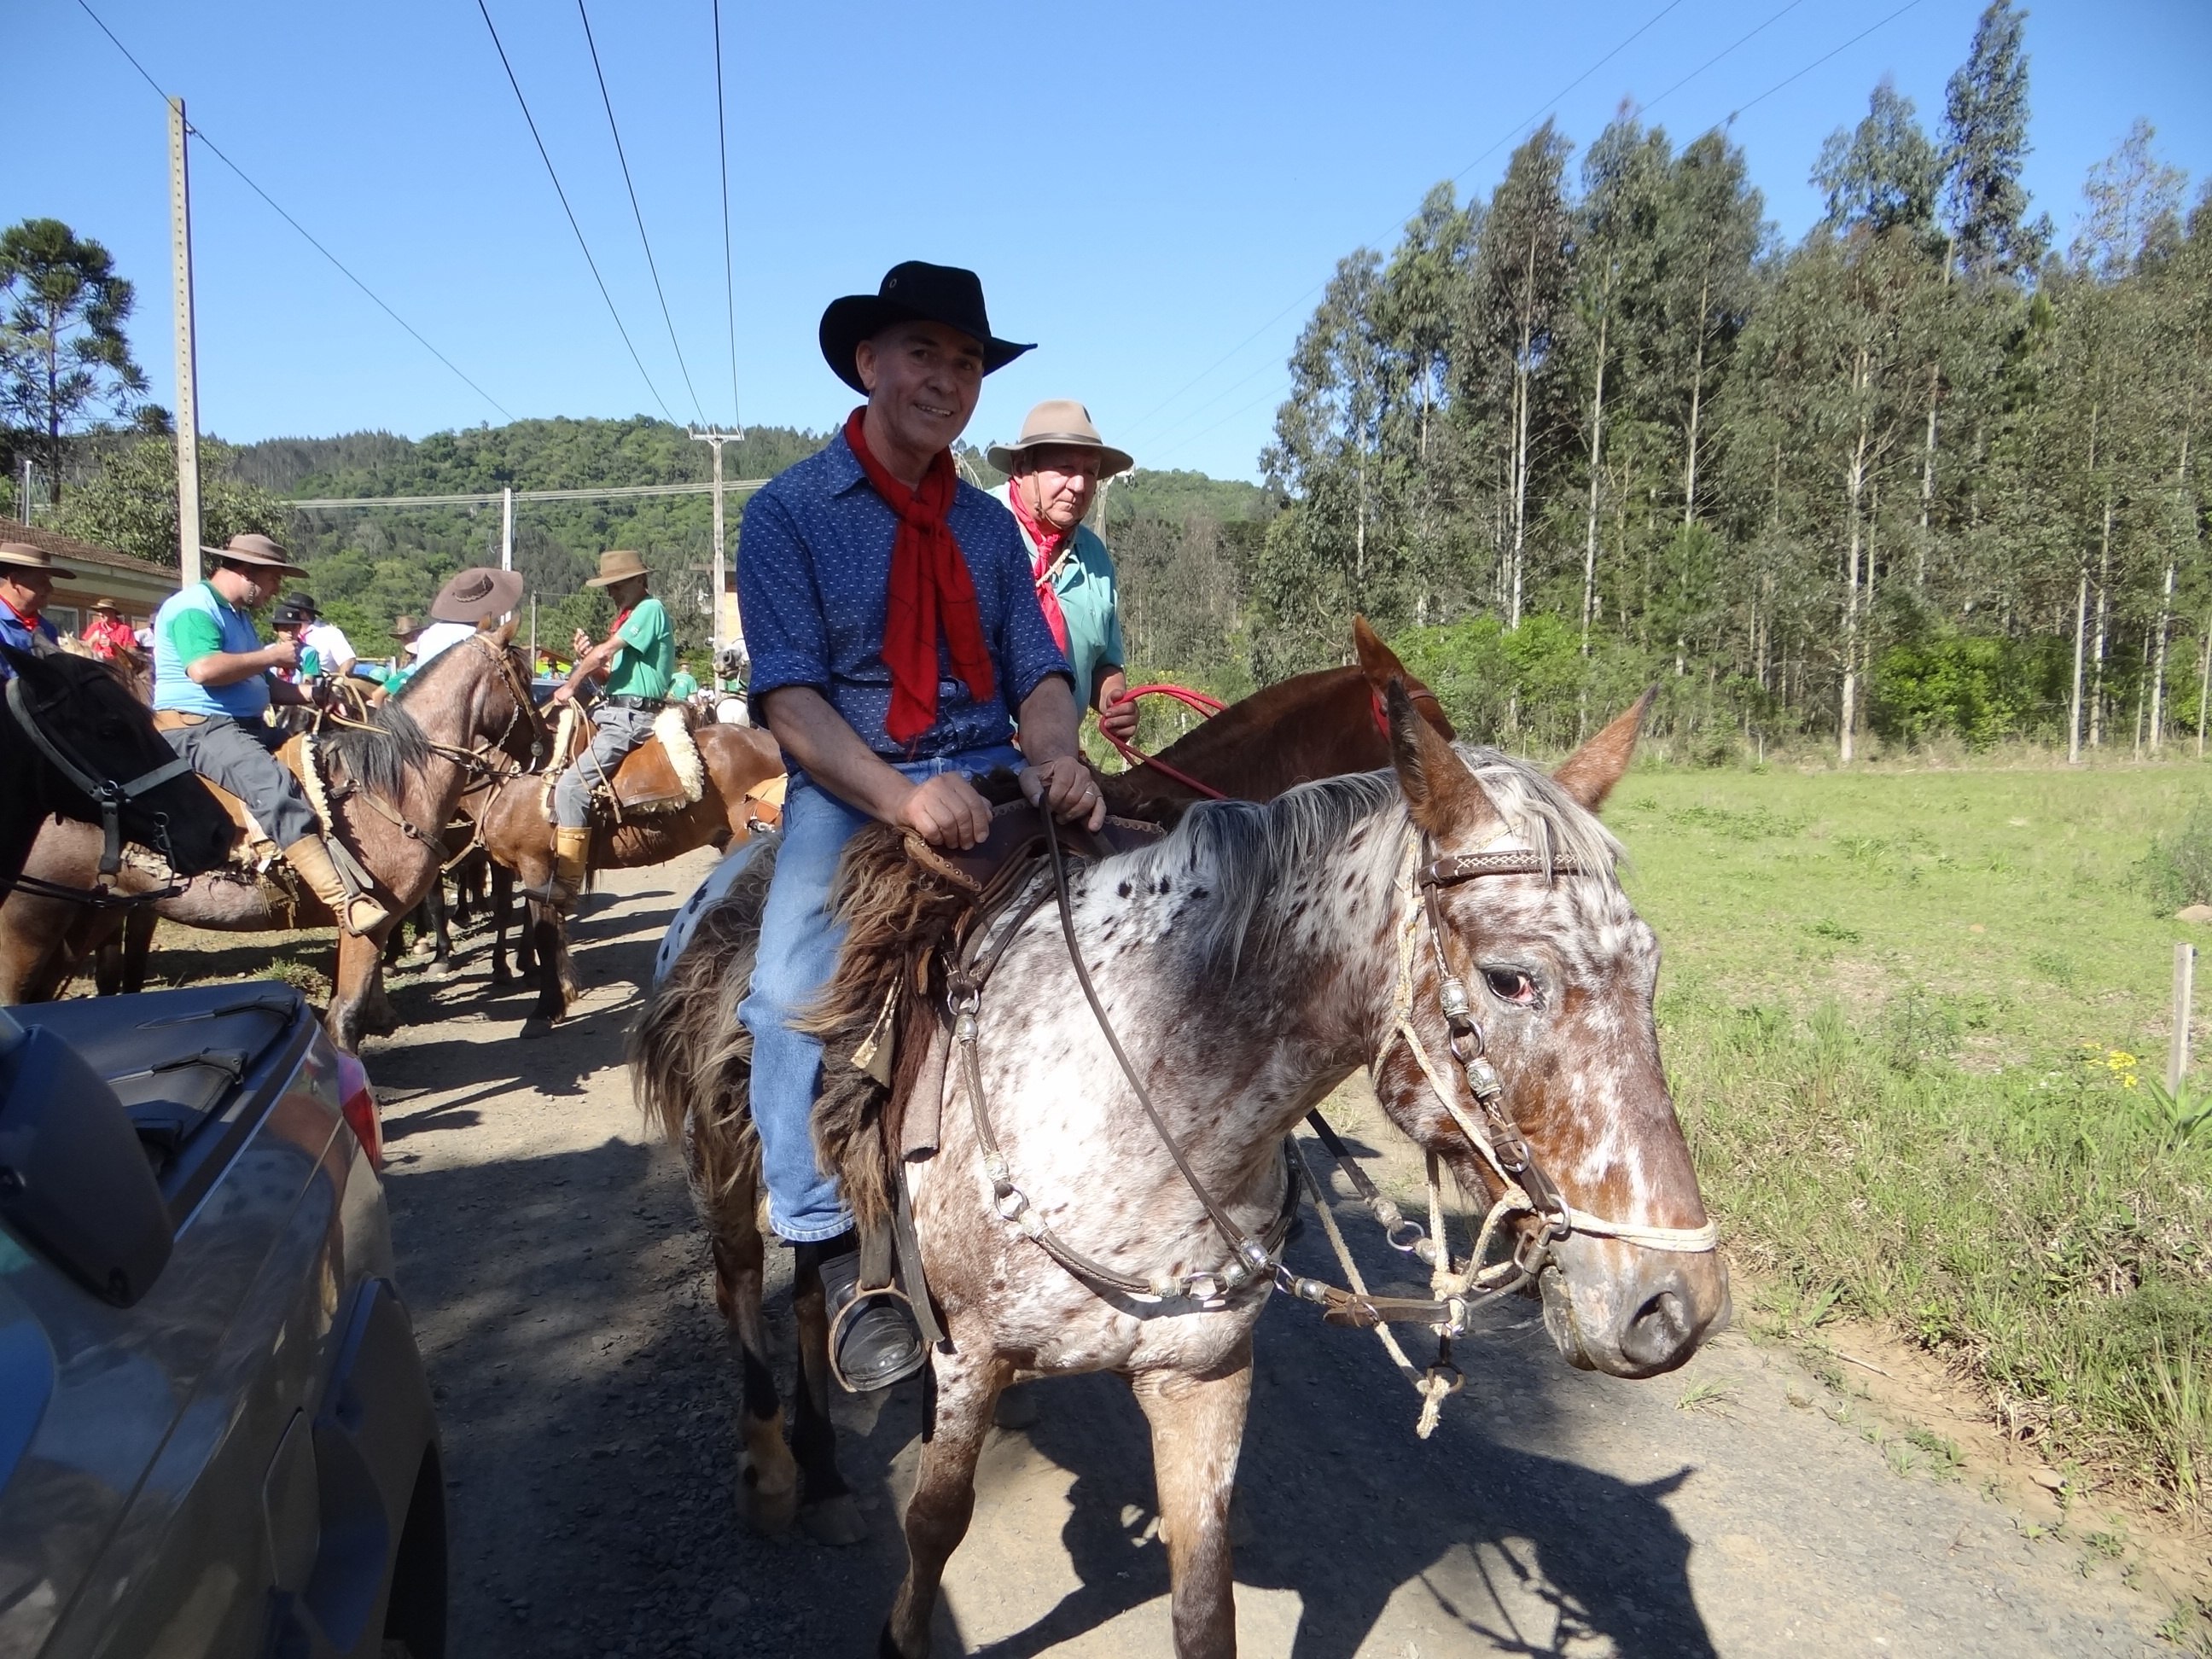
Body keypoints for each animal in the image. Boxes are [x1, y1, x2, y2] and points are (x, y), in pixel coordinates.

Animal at [641, 677, 1725, 1659]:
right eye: (1510, 979)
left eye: (1651, 969)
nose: (1673, 1306)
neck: (1141, 1082)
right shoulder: (973, 1354)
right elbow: (936, 1524)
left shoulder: (1201, 1376)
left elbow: (1204, 1598)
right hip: (734, 1164)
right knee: (750, 1281)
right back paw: (779, 1472)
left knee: (815, 1289)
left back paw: (830, 1474)